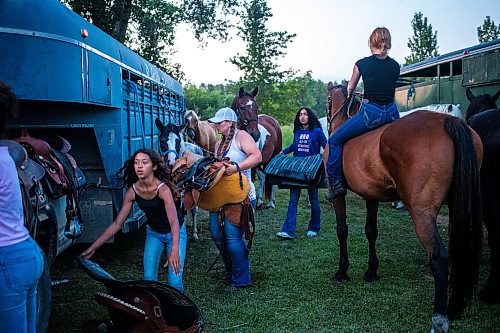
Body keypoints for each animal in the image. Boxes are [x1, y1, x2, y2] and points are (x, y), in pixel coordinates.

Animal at [324, 81, 484, 332]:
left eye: (328, 101)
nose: (327, 122)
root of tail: (449, 122)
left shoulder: (337, 196)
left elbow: (342, 230)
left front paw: (342, 271)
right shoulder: (371, 196)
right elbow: (371, 231)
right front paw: (371, 271)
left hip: (422, 213)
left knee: (439, 258)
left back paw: (439, 318)